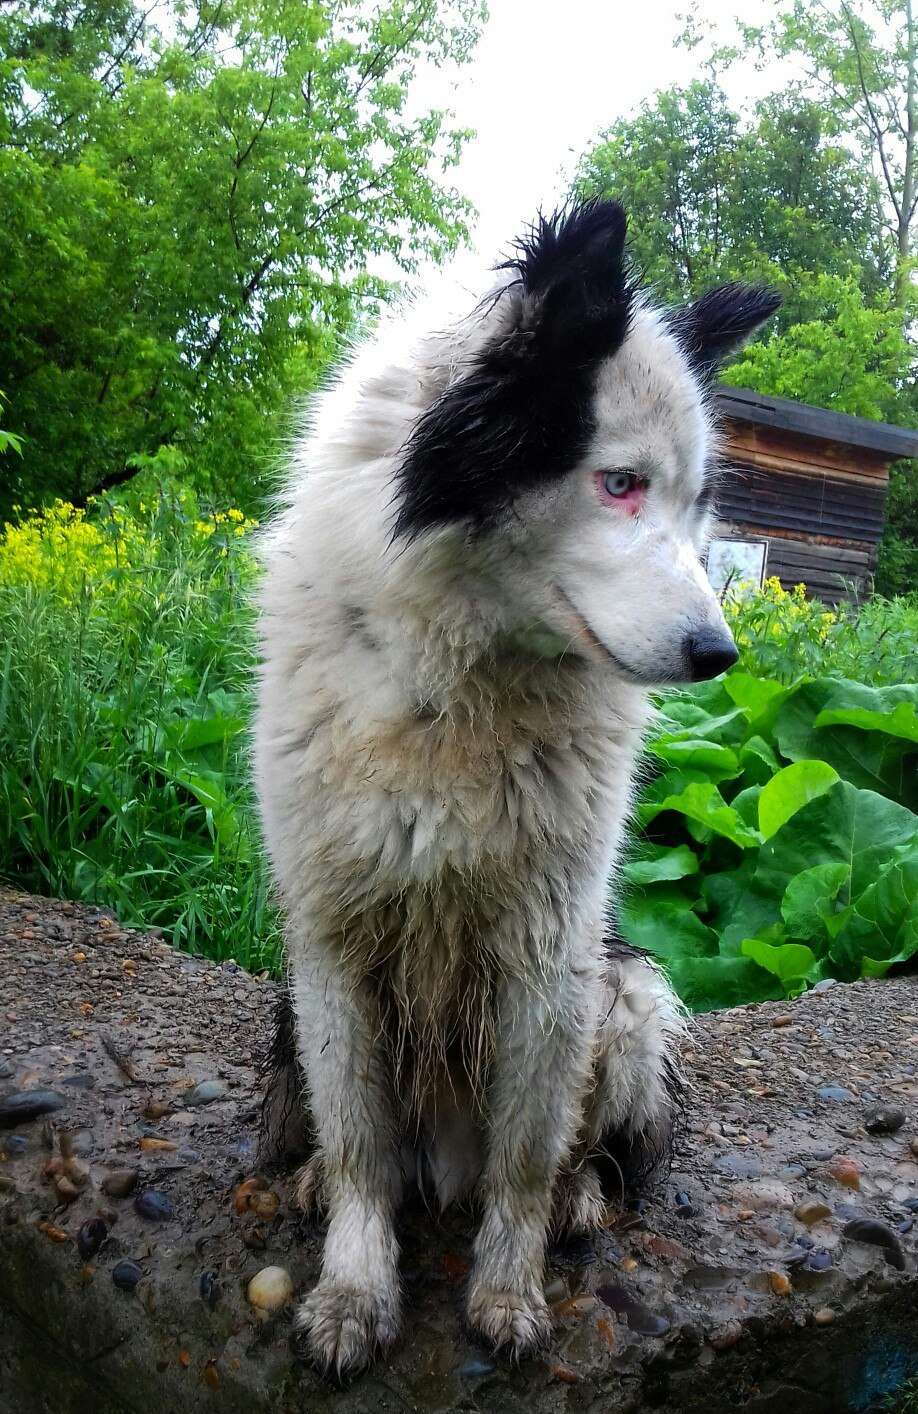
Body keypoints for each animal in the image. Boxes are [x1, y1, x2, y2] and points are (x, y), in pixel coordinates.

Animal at [251, 205, 780, 1374]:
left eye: (700, 506)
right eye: (619, 483)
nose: (721, 654)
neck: (457, 688)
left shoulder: (551, 949)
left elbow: (526, 1158)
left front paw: (506, 1289)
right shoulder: (331, 938)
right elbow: (358, 1144)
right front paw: (353, 1291)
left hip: (632, 997)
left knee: (582, 1147)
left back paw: (584, 1198)